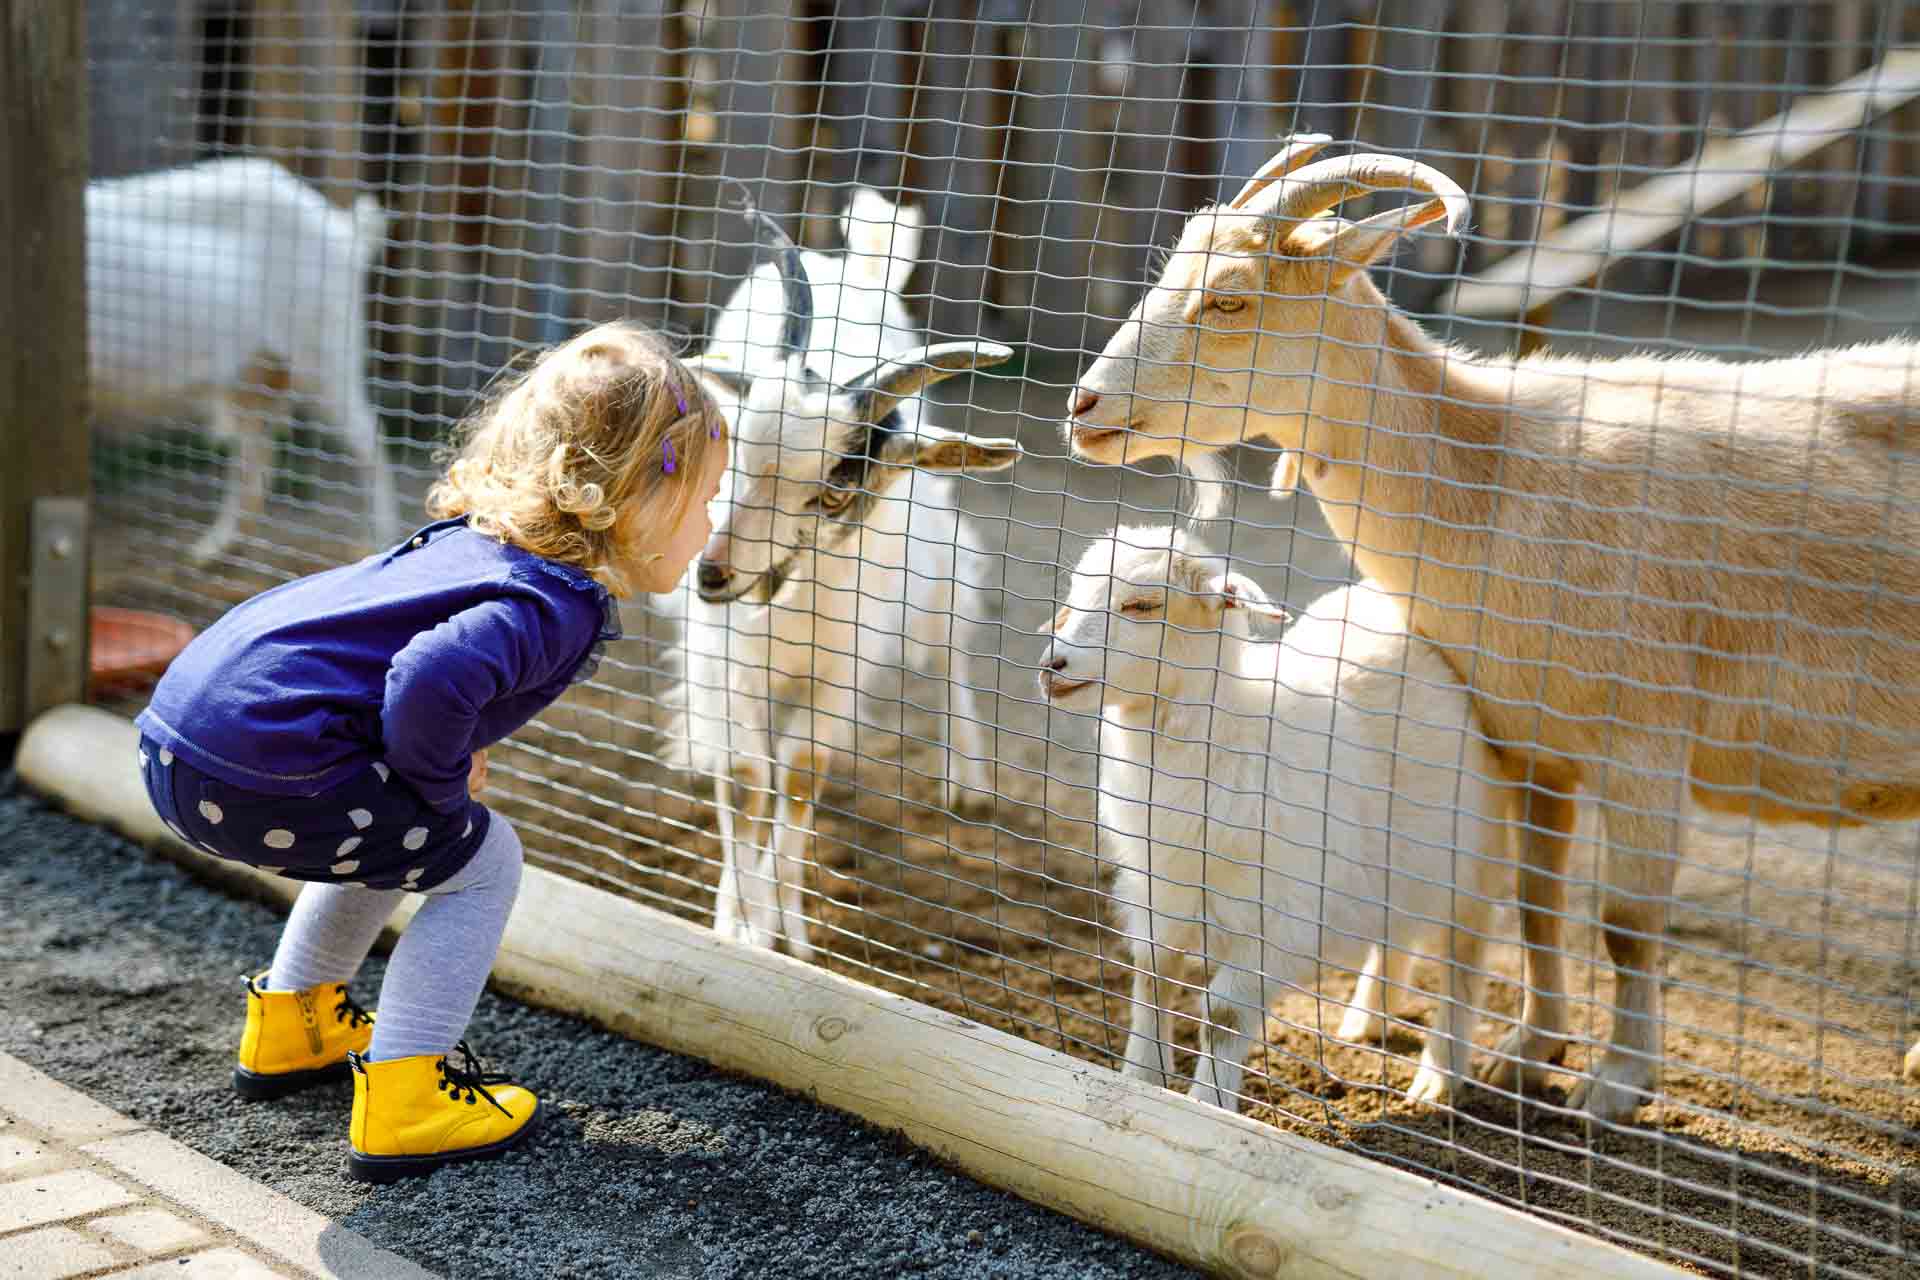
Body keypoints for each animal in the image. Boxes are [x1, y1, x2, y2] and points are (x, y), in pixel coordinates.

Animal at [88, 157, 395, 564]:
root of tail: (343, 231)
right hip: (251, 377)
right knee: (256, 455)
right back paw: (213, 549)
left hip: (324, 360)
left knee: (369, 441)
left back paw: (381, 542)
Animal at [664, 192, 1013, 959]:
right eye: (733, 453)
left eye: (829, 493)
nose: (712, 574)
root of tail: (857, 261)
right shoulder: (726, 660)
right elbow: (745, 779)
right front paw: (735, 922)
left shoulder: (838, 670)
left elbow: (798, 779)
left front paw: (785, 934)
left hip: (935, 570)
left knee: (950, 649)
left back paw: (966, 778)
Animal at [1044, 529, 1505, 1113]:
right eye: (1075, 593)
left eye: (1143, 605)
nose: (1052, 665)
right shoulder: (1160, 891)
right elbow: (1152, 982)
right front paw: (1141, 1082)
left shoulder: (1277, 917)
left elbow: (1223, 1014)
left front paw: (1210, 1105)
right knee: (1394, 931)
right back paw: (1367, 1019)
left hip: (1474, 852)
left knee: (1463, 956)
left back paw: (1439, 1076)